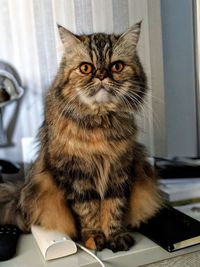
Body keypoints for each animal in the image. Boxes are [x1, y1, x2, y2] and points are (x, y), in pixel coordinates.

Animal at [0, 22, 161, 253]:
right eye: (86, 68)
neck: (100, 123)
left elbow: (113, 208)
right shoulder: (76, 175)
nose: (101, 75)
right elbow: (88, 210)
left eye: (117, 67)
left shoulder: (119, 170)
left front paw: (115, 236)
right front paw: (94, 238)